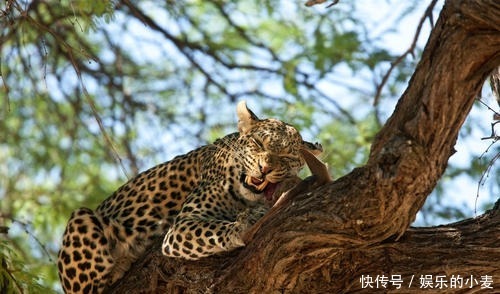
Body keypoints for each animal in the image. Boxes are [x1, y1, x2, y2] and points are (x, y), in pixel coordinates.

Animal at [56, 100, 322, 292]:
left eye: (287, 157)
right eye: (258, 143)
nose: (264, 168)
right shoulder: (182, 225)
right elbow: (213, 229)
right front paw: (244, 223)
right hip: (81, 218)